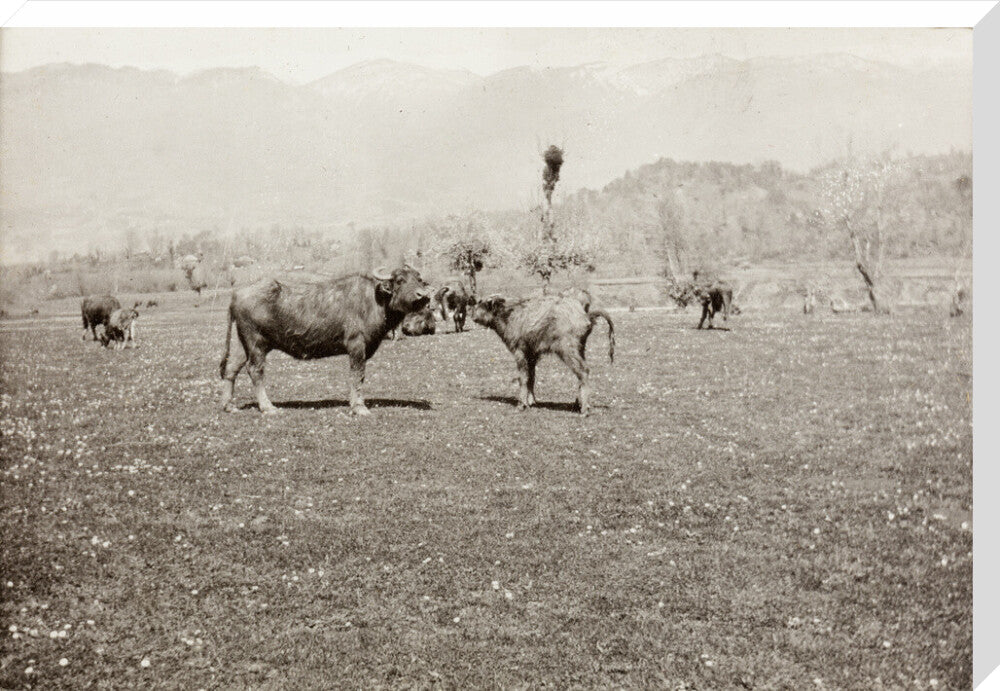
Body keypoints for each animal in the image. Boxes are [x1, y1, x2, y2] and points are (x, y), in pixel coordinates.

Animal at [219, 265, 431, 415]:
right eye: (400, 280)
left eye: (419, 279)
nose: (423, 296)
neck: (374, 301)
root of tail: (237, 294)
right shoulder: (356, 346)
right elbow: (357, 375)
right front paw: (359, 407)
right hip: (257, 342)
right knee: (255, 370)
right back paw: (267, 407)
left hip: (241, 343)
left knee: (231, 368)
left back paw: (229, 405)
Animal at [471, 293, 615, 416]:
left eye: (482, 303)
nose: (472, 313)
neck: (509, 316)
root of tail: (586, 316)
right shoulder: (532, 355)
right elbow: (531, 377)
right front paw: (531, 401)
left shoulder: (520, 352)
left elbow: (523, 378)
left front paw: (521, 404)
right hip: (580, 349)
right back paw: (577, 404)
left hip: (568, 350)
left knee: (583, 371)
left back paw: (584, 409)